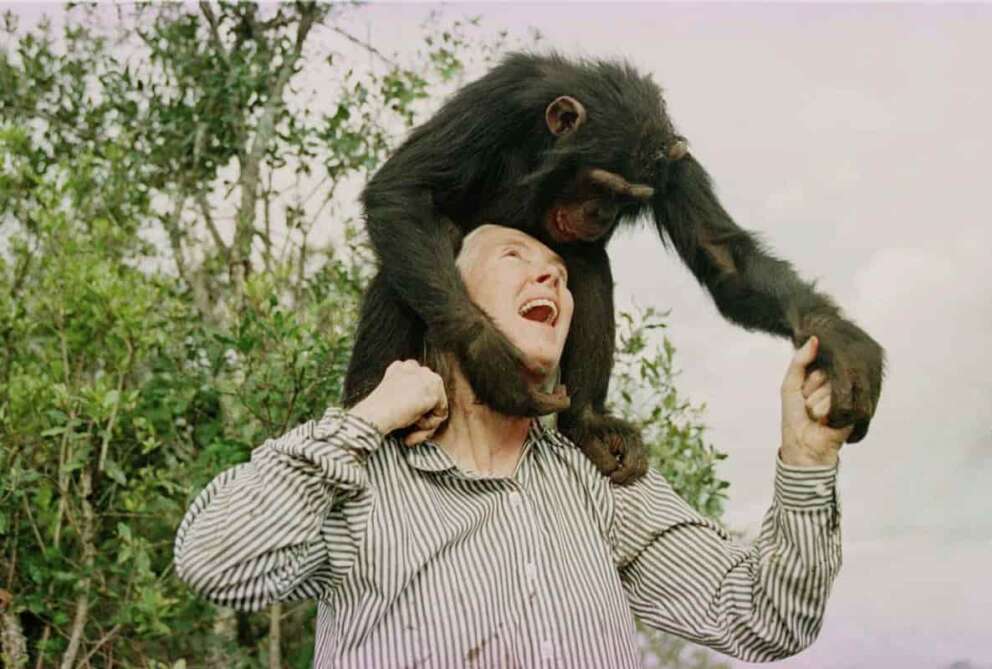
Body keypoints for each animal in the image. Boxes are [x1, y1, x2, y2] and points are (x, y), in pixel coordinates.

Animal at [340, 52, 885, 484]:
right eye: (601, 184)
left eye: (628, 198)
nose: (600, 214)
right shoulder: (496, 101)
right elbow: (404, 189)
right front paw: (493, 363)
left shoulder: (675, 167)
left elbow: (723, 256)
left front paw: (840, 341)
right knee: (406, 265)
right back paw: (368, 399)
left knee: (588, 264)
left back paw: (587, 422)